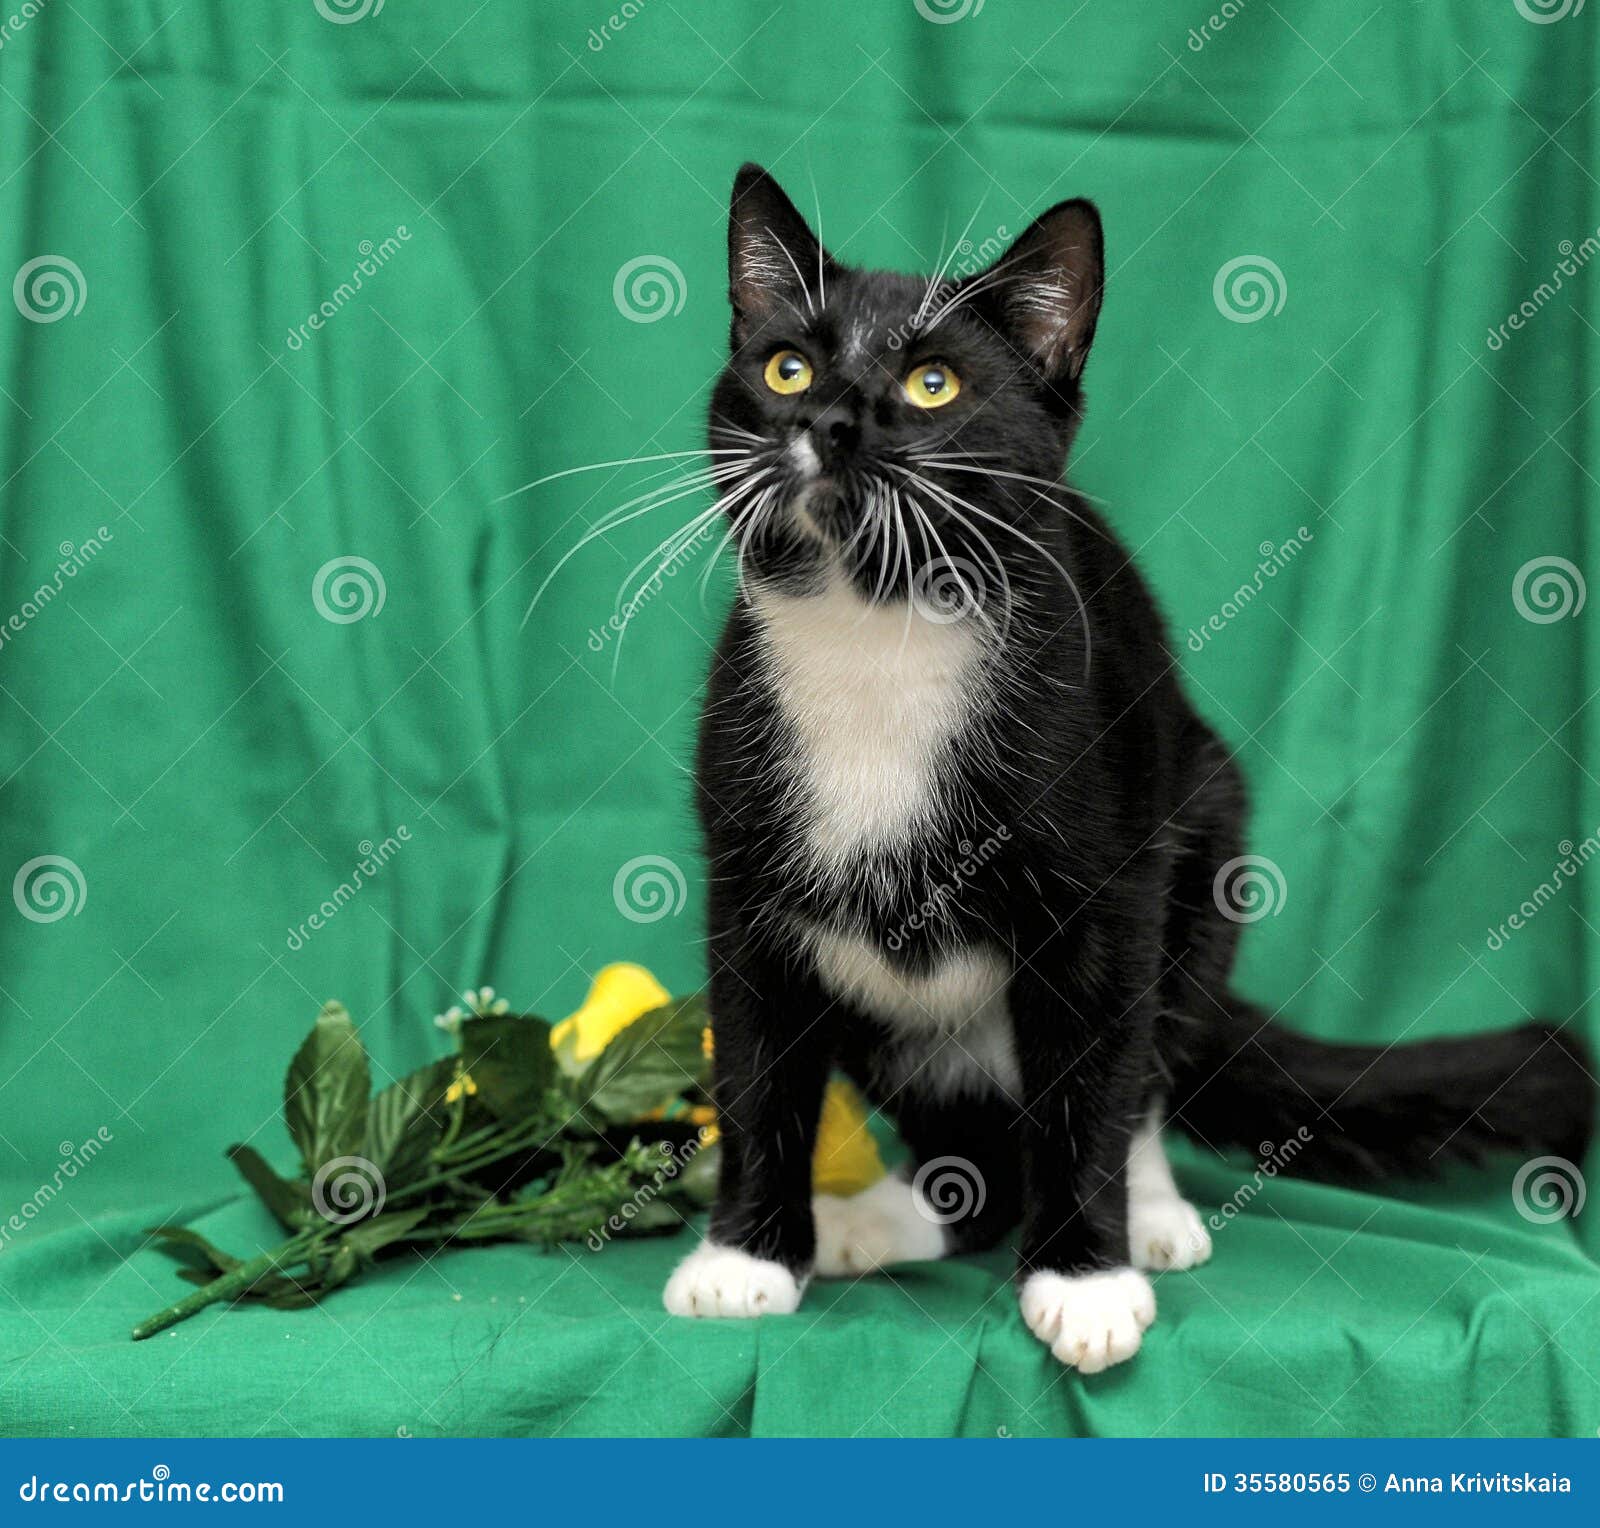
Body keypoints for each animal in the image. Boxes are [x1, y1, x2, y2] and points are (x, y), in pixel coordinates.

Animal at [659, 163, 1595, 1372]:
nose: (828, 420)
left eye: (931, 384)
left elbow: (1093, 1080)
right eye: (787, 367)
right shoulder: (744, 877)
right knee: (976, 1156)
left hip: (1206, 828)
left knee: (1138, 1069)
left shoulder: (1103, 885)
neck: (877, 637)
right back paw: (873, 1223)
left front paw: (1086, 1280)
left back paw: (1147, 1213)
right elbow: (757, 1070)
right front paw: (746, 1262)